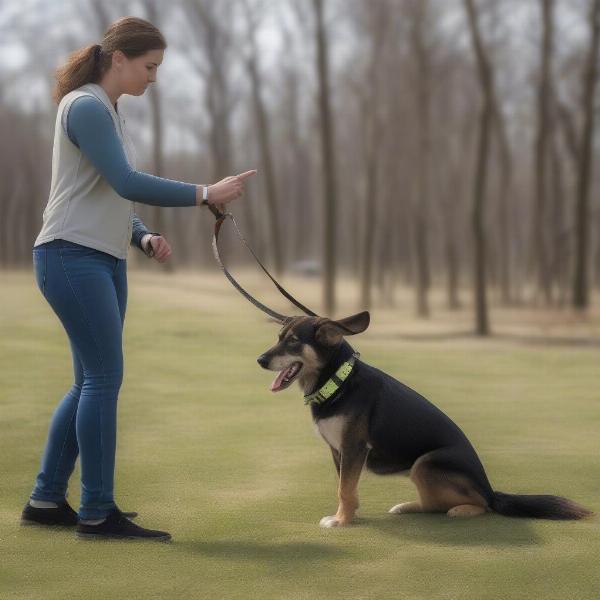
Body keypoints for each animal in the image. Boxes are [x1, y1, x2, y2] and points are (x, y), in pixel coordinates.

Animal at [255, 312, 592, 528]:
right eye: (278, 338)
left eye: (293, 342)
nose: (260, 360)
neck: (338, 381)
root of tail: (490, 489)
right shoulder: (339, 452)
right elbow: (346, 488)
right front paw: (348, 516)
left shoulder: (354, 449)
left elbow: (344, 489)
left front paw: (341, 521)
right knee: (434, 505)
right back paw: (407, 507)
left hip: (426, 463)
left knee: (480, 505)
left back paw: (463, 510)